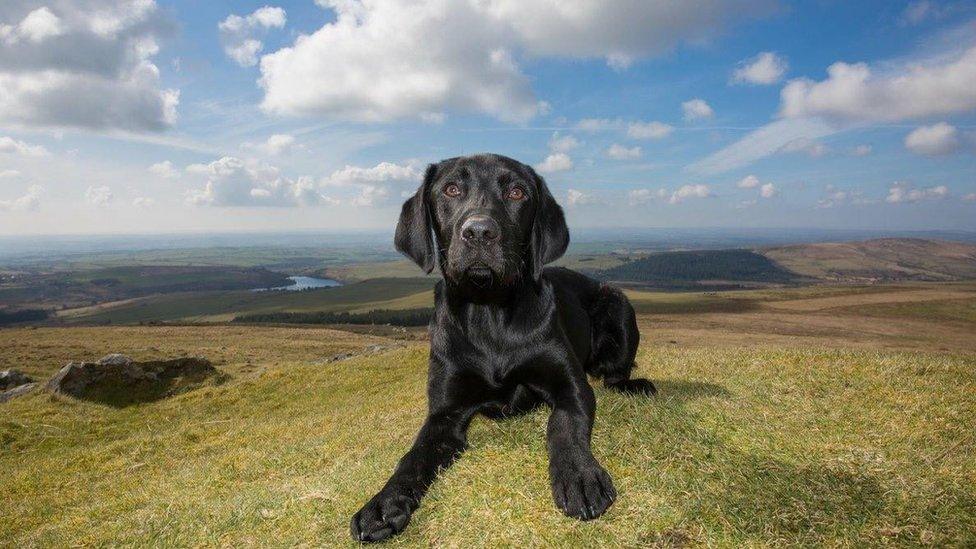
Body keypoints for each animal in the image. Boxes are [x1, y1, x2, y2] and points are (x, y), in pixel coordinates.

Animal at [350, 152, 656, 540]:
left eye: (516, 192)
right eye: (451, 189)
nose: (479, 232)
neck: (490, 313)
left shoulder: (571, 387)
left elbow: (563, 428)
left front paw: (579, 476)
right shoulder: (445, 413)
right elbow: (413, 457)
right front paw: (383, 503)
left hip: (618, 301)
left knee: (615, 373)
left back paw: (635, 385)